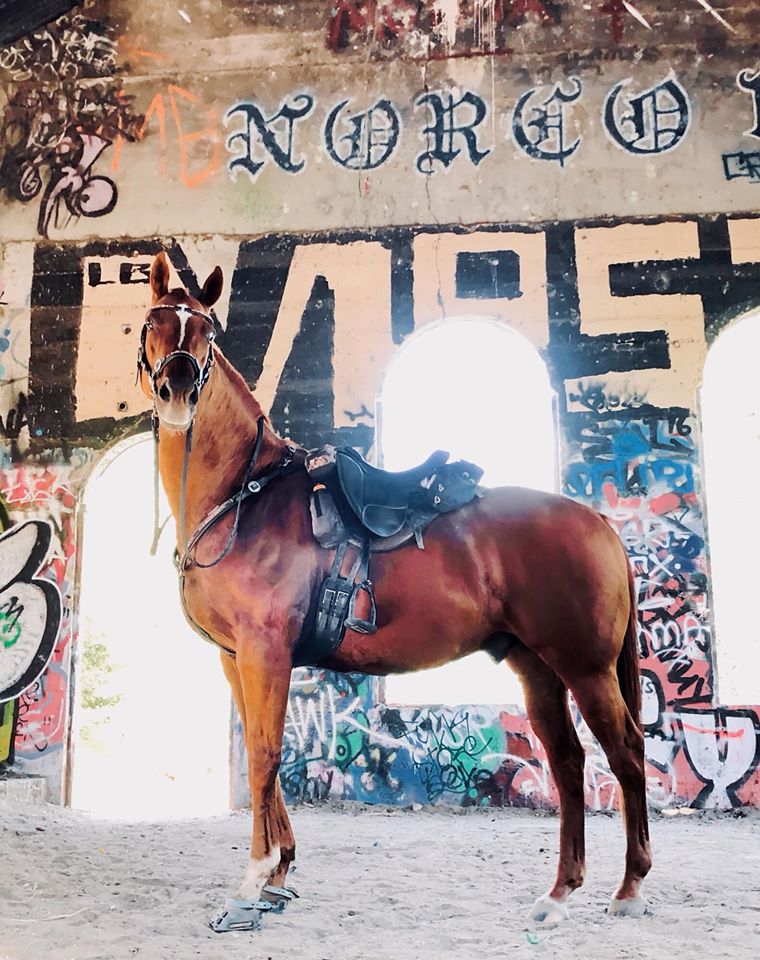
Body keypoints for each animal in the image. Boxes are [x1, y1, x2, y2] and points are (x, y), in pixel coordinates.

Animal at [138, 253, 652, 928]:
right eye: (152, 322)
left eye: (206, 330)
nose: (176, 391)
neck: (244, 500)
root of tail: (597, 523)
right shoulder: (236, 660)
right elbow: (262, 758)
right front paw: (279, 873)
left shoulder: (263, 652)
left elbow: (265, 757)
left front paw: (252, 883)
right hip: (539, 668)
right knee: (568, 764)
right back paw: (560, 891)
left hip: (586, 668)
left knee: (626, 753)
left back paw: (630, 888)